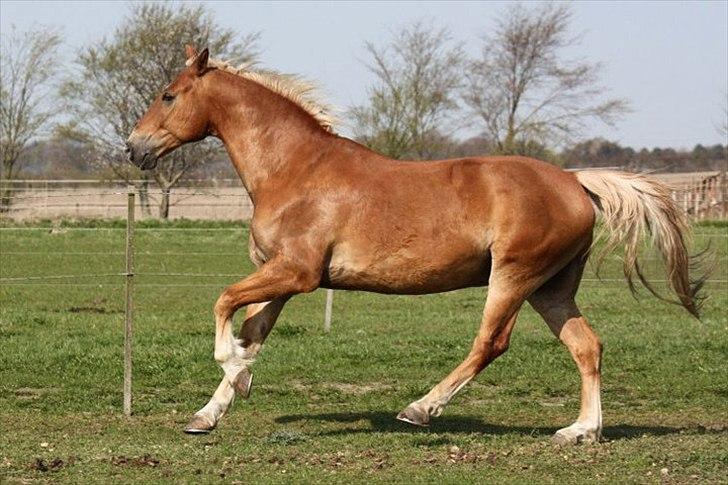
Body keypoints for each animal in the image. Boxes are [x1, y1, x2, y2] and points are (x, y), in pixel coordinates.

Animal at [125, 45, 704, 442]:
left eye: (168, 95)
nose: (133, 148)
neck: (295, 170)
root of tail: (574, 181)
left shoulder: (297, 273)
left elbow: (223, 304)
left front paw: (235, 374)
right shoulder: (281, 277)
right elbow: (252, 333)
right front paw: (209, 412)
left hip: (513, 277)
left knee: (490, 343)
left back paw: (420, 409)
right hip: (551, 288)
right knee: (587, 346)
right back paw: (581, 431)